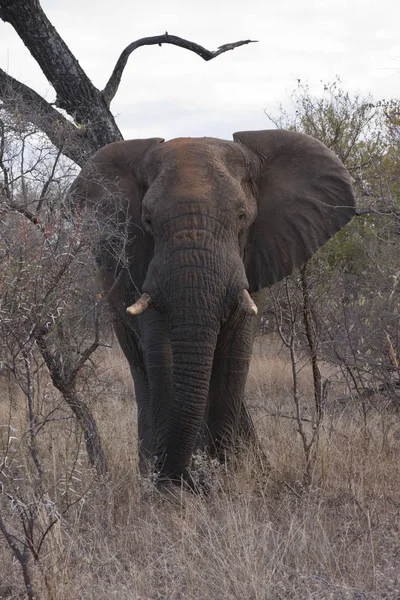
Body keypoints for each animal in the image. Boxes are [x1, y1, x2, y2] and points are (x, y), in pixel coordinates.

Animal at [70, 129, 354, 486]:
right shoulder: (140, 266)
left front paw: (220, 481)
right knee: (140, 367)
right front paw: (168, 487)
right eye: (147, 220)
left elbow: (234, 357)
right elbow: (162, 356)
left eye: (242, 217)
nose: (180, 478)